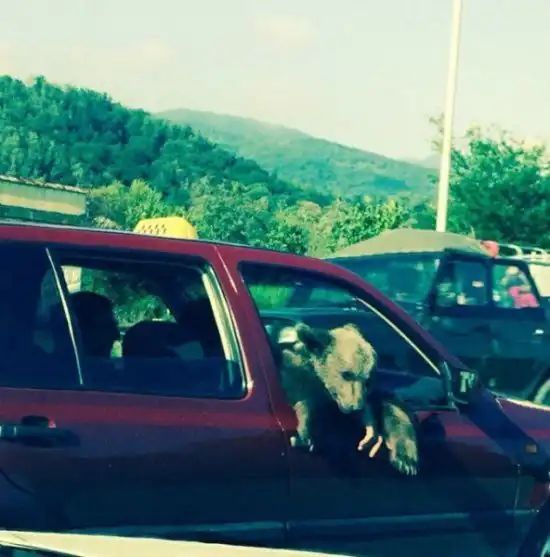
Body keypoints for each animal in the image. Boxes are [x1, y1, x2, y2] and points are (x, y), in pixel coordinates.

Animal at [274, 321, 419, 476]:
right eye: (347, 374)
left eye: (368, 379)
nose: (356, 407)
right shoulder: (297, 373)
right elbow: (301, 395)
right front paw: (304, 433)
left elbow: (392, 407)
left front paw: (406, 461)